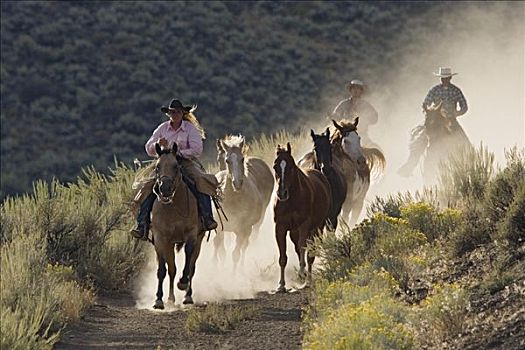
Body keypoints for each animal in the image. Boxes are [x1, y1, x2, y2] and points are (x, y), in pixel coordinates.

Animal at [149, 142, 205, 308]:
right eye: (157, 167)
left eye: (176, 166)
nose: (164, 188)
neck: (173, 207)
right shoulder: (160, 239)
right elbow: (162, 270)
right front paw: (158, 300)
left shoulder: (191, 235)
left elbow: (188, 260)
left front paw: (183, 282)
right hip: (169, 244)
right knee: (172, 269)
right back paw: (170, 299)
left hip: (199, 240)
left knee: (192, 267)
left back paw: (188, 296)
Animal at [212, 135, 272, 270]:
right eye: (227, 160)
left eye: (242, 159)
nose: (237, 183)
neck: (232, 198)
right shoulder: (219, 226)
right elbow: (219, 247)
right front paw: (217, 267)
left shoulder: (243, 228)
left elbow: (235, 254)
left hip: (253, 225)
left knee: (247, 244)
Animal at [272, 142, 330, 292]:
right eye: (275, 166)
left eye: (291, 166)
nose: (281, 193)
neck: (292, 200)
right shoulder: (280, 227)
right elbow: (283, 257)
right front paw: (281, 285)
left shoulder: (304, 225)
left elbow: (304, 248)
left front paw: (302, 273)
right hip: (294, 232)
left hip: (317, 228)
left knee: (310, 254)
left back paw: (307, 280)